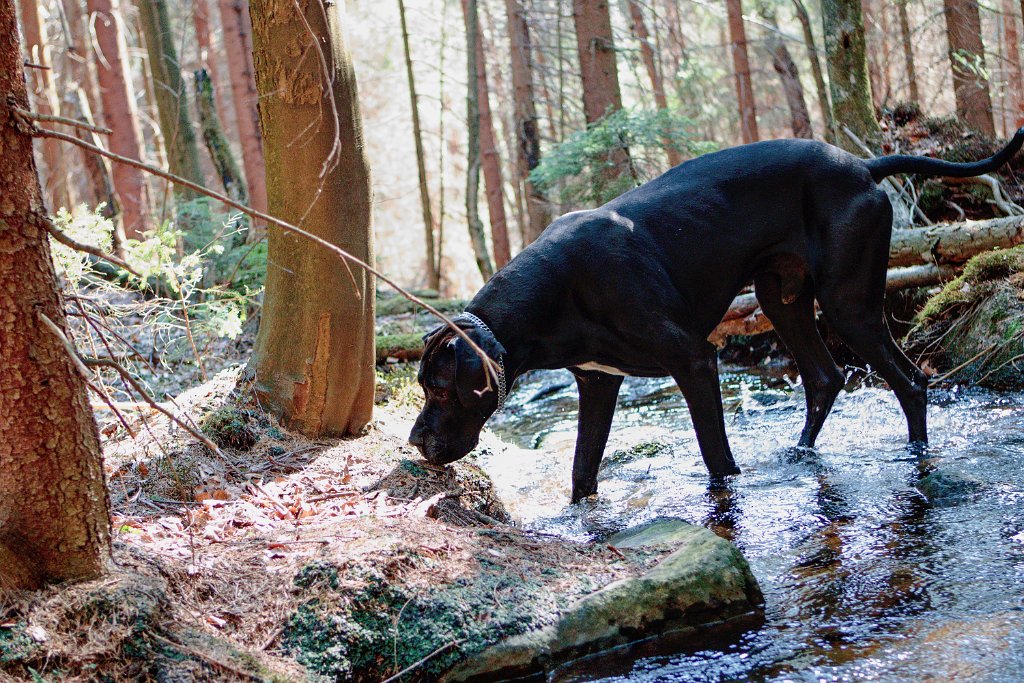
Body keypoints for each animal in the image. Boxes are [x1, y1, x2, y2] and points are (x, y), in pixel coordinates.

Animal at [407, 133, 1024, 505]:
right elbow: (582, 471)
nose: (414, 441)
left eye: (440, 389)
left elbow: (716, 460)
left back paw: (917, 460)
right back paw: (800, 454)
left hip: (848, 305)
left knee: (910, 380)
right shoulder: (599, 384)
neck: (556, 292)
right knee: (825, 378)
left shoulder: (695, 362)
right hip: (782, 299)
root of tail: (864, 166)